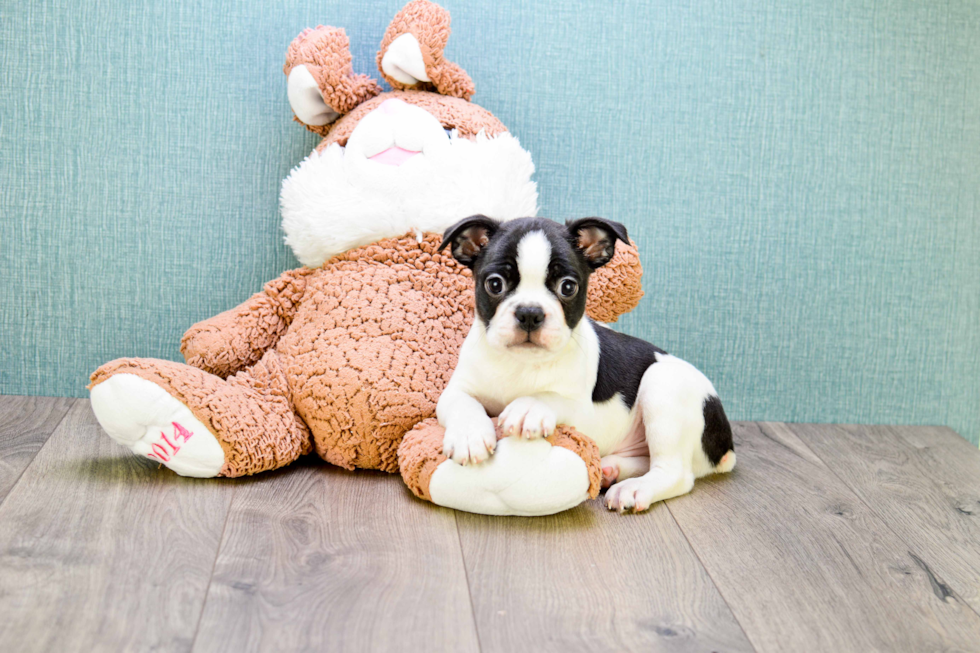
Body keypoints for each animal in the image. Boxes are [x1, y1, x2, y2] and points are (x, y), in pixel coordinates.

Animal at [436, 216, 736, 512]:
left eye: (568, 287)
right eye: (495, 284)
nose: (530, 312)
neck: (522, 362)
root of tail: (727, 447)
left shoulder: (583, 412)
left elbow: (550, 397)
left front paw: (528, 407)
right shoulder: (456, 390)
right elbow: (463, 403)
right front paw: (469, 435)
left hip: (663, 385)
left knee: (676, 473)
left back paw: (634, 488)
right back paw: (611, 469)